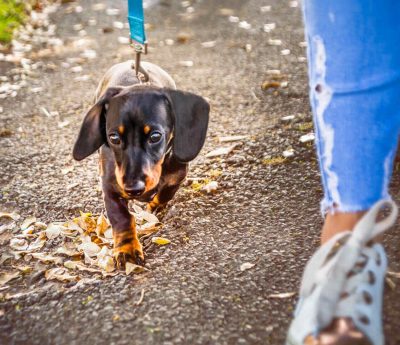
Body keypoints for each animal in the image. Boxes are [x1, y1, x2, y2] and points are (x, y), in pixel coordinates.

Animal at [72, 61, 209, 266]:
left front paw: (154, 206)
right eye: (113, 137)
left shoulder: (177, 176)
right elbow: (121, 218)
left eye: (155, 136)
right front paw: (127, 249)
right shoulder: (110, 188)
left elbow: (166, 193)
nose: (133, 189)